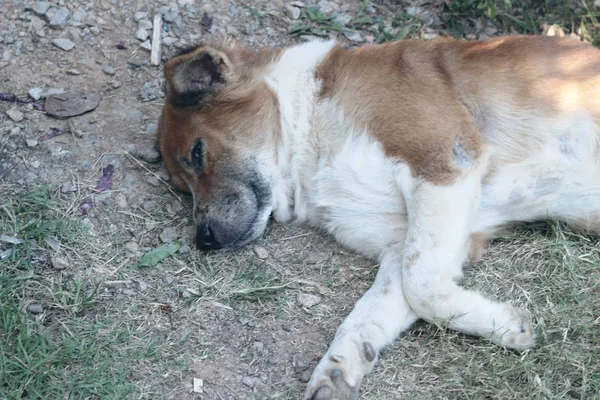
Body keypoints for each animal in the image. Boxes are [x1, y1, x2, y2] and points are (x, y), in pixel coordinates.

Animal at [156, 35, 600, 400]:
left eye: (197, 153)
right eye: (182, 187)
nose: (204, 239)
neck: (311, 129)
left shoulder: (444, 162)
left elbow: (422, 287)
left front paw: (509, 326)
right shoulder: (403, 243)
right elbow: (373, 312)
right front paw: (338, 370)